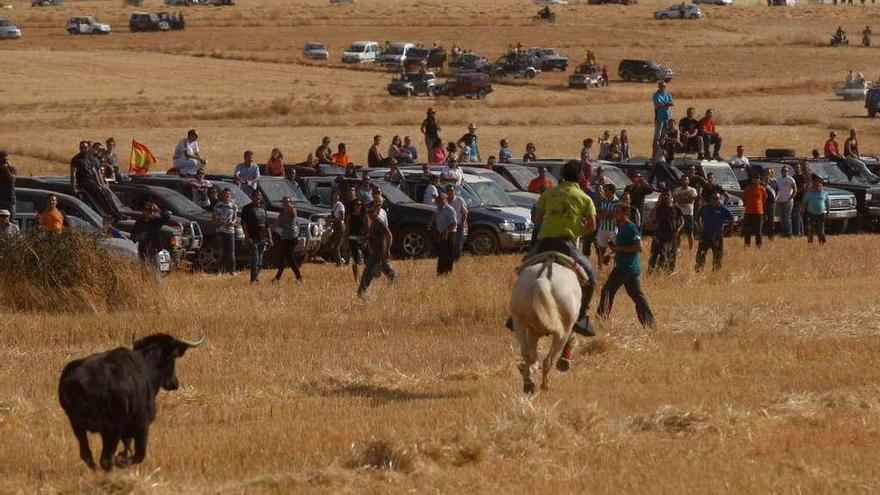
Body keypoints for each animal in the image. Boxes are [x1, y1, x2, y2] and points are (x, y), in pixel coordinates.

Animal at [57, 336, 204, 470]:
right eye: (171, 358)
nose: (174, 383)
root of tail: (76, 379)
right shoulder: (142, 426)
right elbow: (139, 454)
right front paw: (121, 460)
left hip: (77, 424)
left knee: (87, 455)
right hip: (111, 428)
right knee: (105, 459)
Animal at [512, 256, 580, 396]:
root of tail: (543, 280)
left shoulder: (533, 331)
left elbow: (533, 355)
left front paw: (531, 371)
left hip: (518, 322)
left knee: (527, 353)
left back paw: (528, 383)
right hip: (563, 331)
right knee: (549, 359)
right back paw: (545, 385)